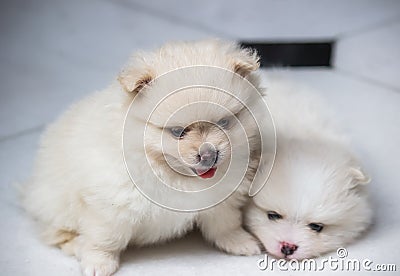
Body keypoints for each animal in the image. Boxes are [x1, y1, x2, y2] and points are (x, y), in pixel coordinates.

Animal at [22, 40, 272, 274]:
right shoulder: (110, 205)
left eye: (224, 122)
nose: (209, 155)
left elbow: (224, 222)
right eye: (177, 132)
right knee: (58, 232)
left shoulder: (220, 196)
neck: (172, 173)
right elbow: (104, 238)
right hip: (56, 203)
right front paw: (98, 262)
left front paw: (238, 241)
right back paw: (76, 245)